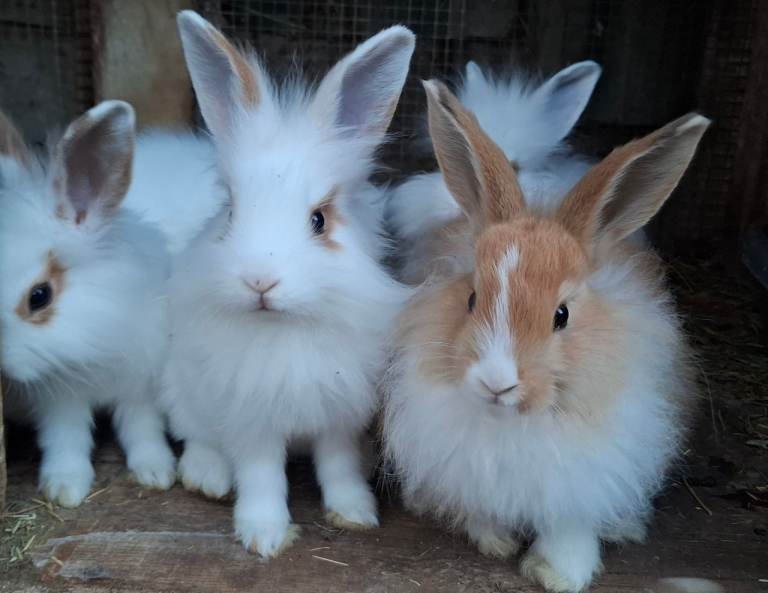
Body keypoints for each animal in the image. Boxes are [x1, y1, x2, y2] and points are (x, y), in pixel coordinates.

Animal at [0, 101, 177, 507]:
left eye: (39, 296)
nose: (1, 367)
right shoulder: (59, 400)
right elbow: (65, 440)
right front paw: (65, 486)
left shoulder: (140, 385)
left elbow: (142, 428)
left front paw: (156, 471)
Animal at [160, 11, 415, 557]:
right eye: (230, 212)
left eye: (319, 219)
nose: (260, 280)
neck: (286, 325)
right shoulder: (252, 421)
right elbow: (261, 476)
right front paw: (265, 535)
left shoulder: (340, 417)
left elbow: (338, 467)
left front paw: (355, 513)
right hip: (181, 391)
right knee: (196, 438)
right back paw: (208, 477)